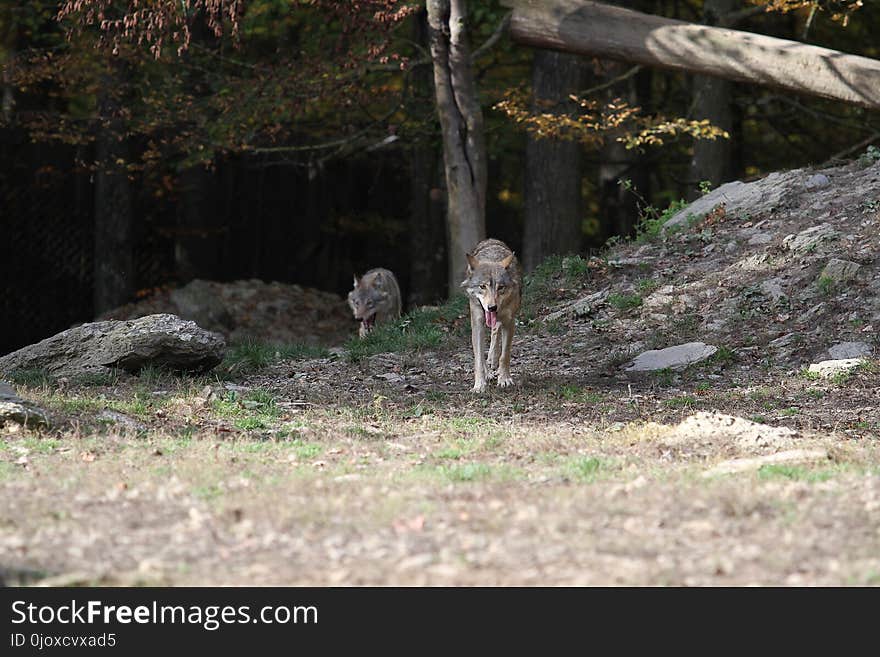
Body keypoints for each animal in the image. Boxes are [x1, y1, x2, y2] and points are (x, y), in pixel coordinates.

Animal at [460, 238, 524, 392]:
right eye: (482, 286)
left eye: (500, 287)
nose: (492, 307)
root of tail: (491, 239)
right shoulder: (477, 324)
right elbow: (478, 358)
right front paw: (479, 385)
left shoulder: (509, 322)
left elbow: (505, 355)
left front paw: (504, 379)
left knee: (496, 332)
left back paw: (493, 360)